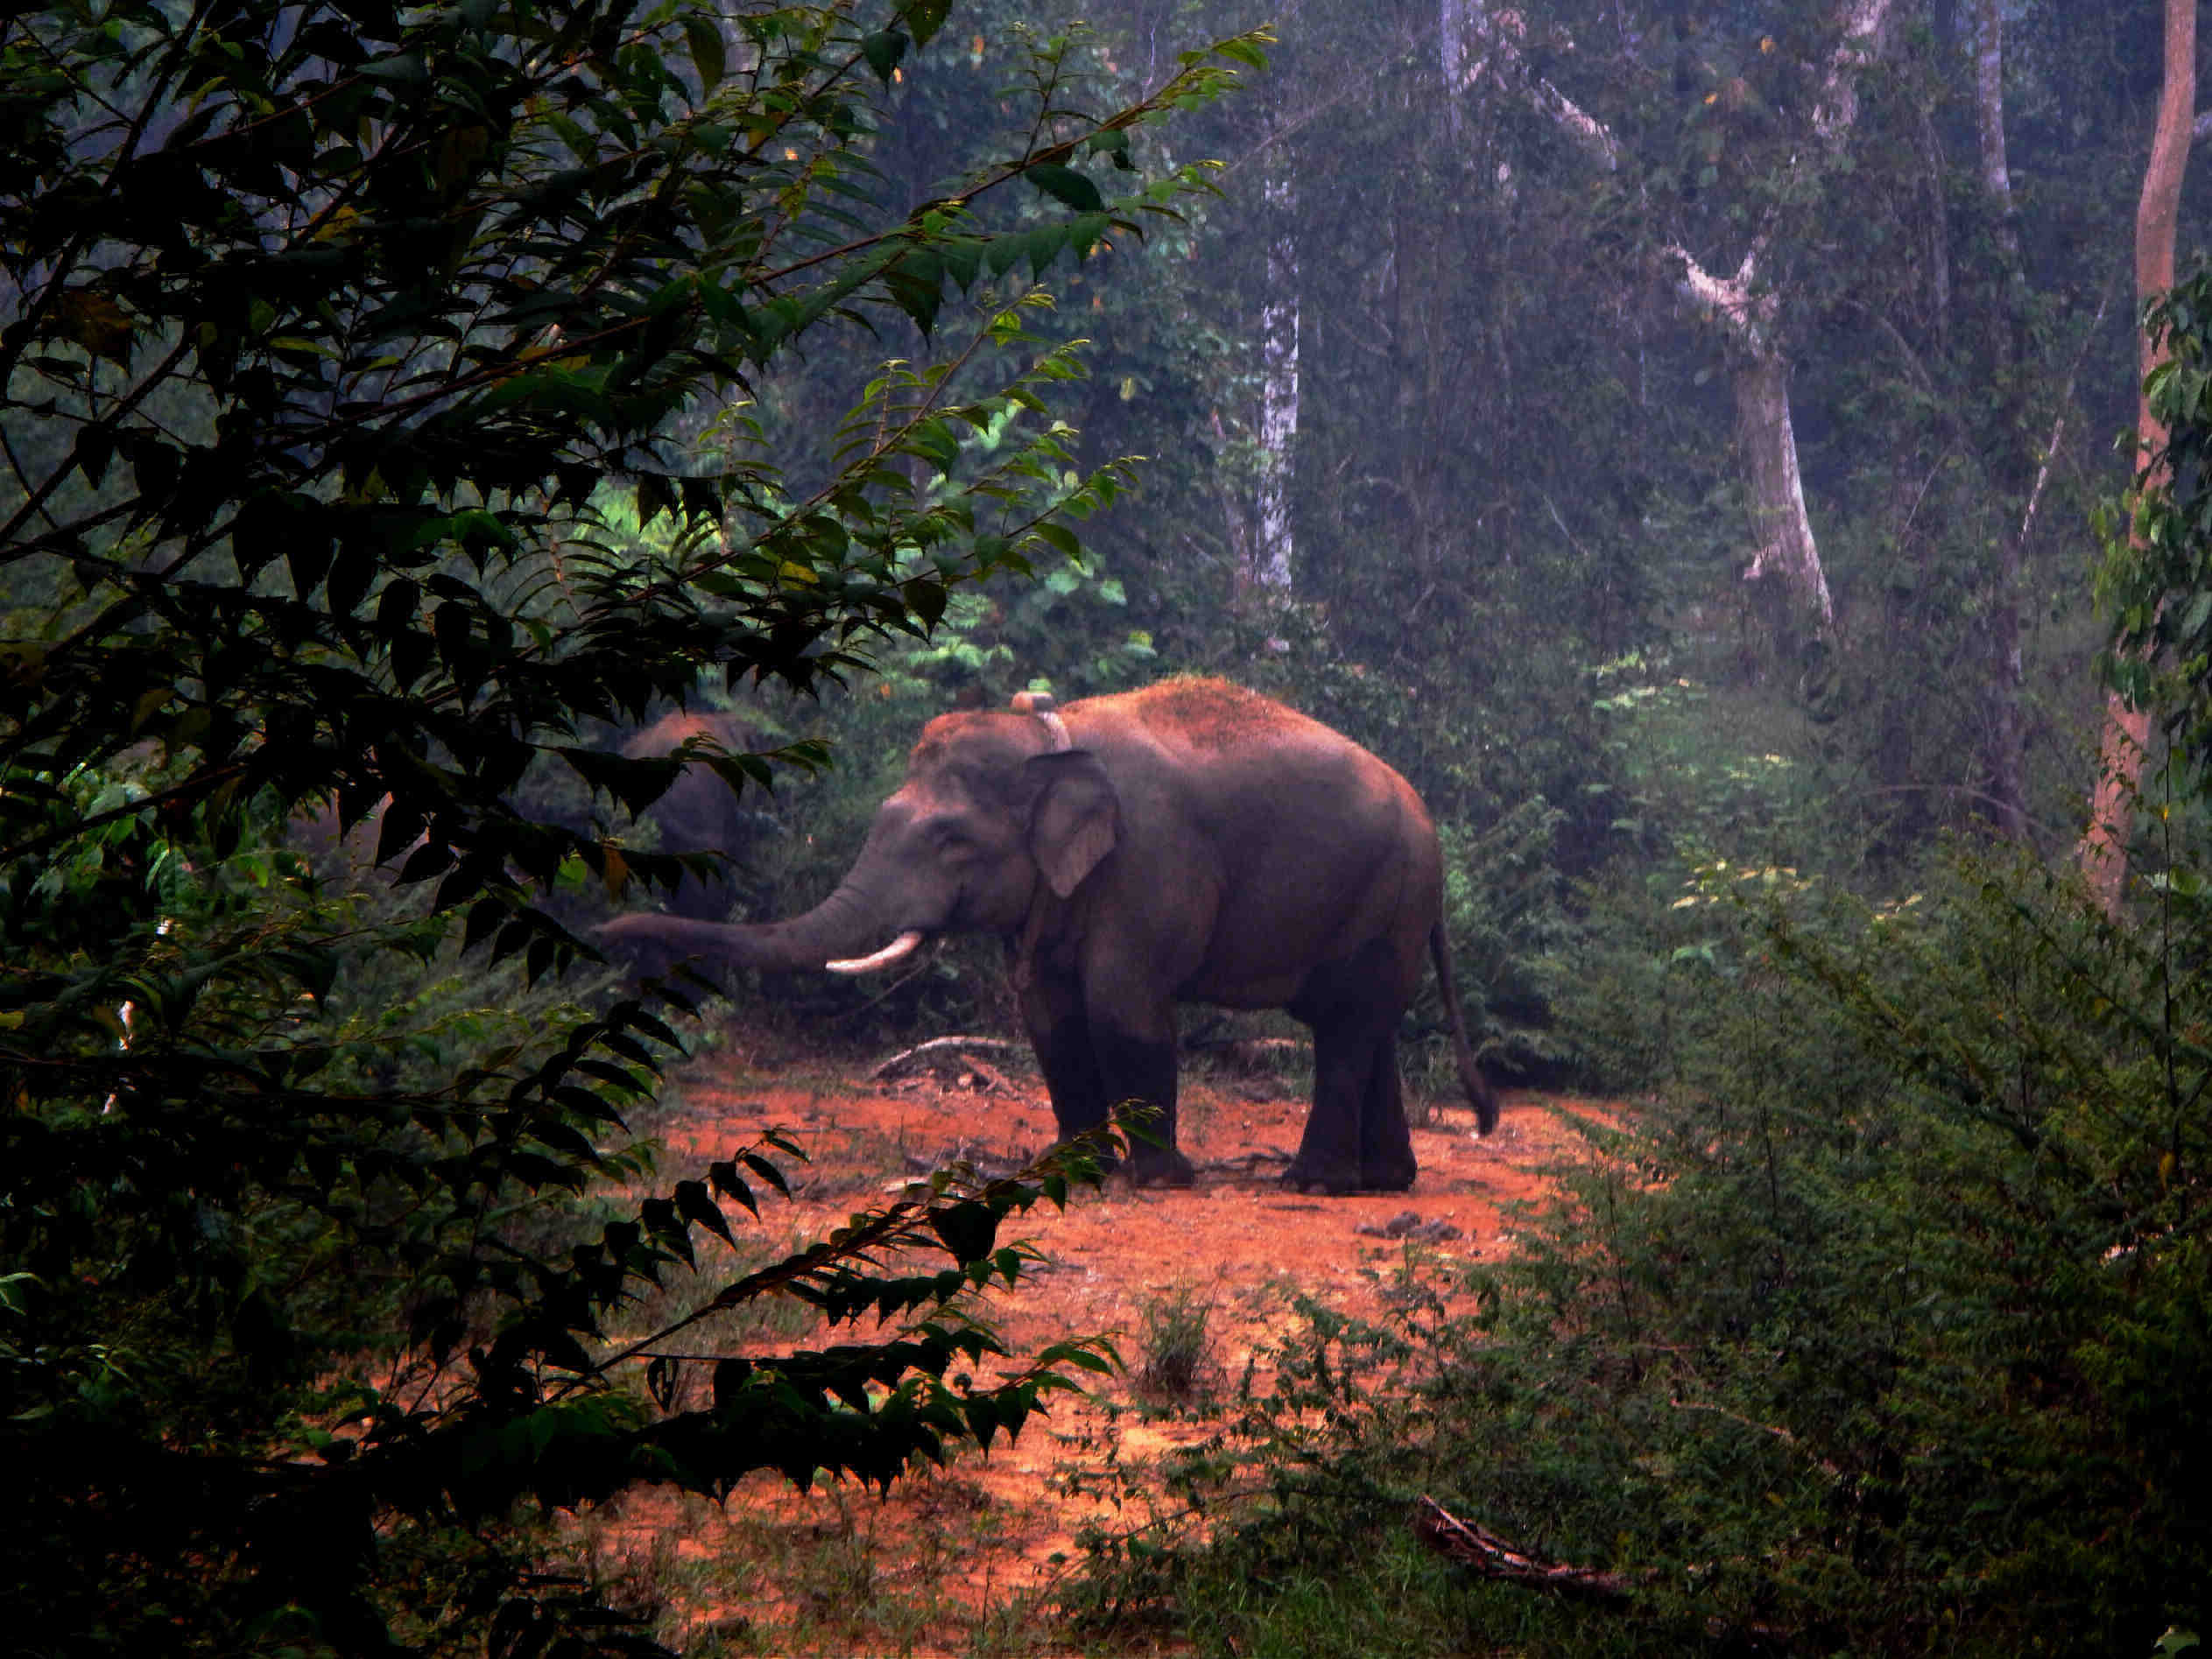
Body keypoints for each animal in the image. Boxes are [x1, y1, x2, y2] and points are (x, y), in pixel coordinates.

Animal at [598, 677, 1497, 1192]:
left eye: (950, 840)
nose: (608, 926)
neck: (1046, 740)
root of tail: (1430, 824)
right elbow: (1047, 1011)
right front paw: (1072, 1170)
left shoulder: (1149, 858)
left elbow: (1122, 1004)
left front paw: (1163, 1180)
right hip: (1386, 903)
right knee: (1365, 1023)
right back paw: (1384, 1182)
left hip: (1387, 890)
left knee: (1345, 1025)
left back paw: (1313, 1185)